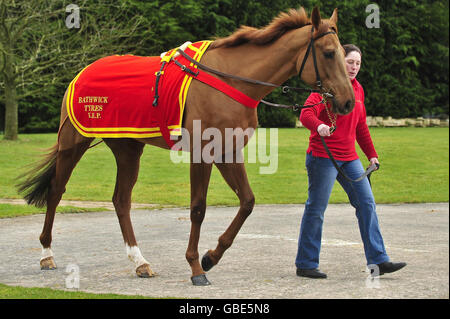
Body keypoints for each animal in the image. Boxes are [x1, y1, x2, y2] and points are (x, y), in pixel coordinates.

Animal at [16, 8, 356, 288]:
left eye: (343, 53)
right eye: (328, 53)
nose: (347, 102)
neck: (232, 80)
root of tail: (84, 71)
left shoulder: (228, 152)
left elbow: (247, 202)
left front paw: (211, 256)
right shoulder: (204, 152)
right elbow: (198, 208)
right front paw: (196, 267)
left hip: (127, 149)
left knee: (121, 200)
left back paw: (140, 262)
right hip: (73, 143)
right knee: (57, 191)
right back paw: (46, 253)